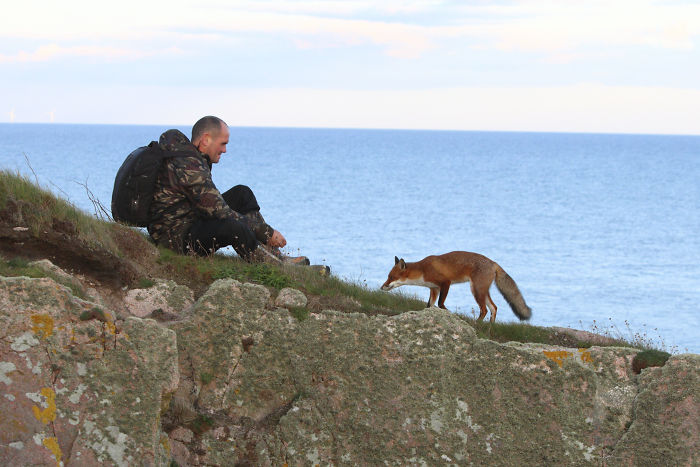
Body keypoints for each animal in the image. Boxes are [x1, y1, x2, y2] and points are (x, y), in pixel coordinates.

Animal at [381, 251, 531, 323]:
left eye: (391, 277)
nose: (382, 287)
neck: (423, 270)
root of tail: (493, 262)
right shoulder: (434, 289)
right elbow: (429, 305)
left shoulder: (445, 283)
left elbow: (440, 304)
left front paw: (450, 314)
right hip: (482, 291)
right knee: (493, 307)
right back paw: (490, 326)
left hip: (476, 290)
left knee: (484, 309)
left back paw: (477, 323)